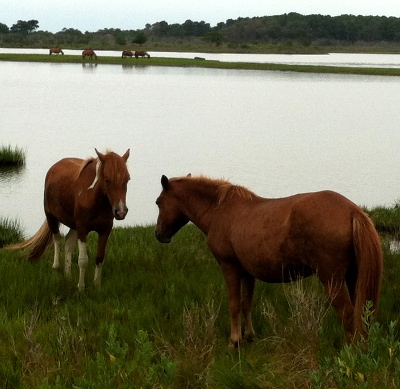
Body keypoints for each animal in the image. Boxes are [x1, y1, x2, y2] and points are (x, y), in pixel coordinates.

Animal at [7, 149, 130, 292]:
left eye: (127, 179)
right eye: (107, 179)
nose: (120, 211)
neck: (93, 198)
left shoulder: (105, 230)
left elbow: (99, 258)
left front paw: (97, 285)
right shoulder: (82, 229)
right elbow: (83, 260)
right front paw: (81, 287)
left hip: (73, 225)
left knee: (68, 244)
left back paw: (67, 274)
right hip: (52, 219)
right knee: (58, 241)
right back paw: (56, 269)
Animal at [155, 174, 382, 344]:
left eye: (158, 202)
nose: (159, 234)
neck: (220, 210)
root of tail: (352, 211)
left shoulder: (230, 268)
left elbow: (234, 304)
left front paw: (234, 341)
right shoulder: (247, 272)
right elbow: (246, 303)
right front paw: (249, 336)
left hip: (331, 280)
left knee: (348, 316)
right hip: (353, 278)